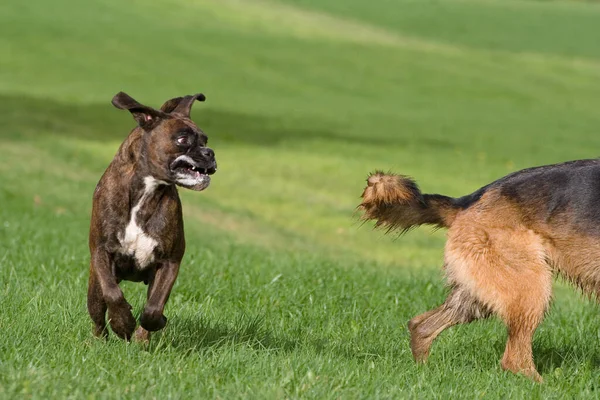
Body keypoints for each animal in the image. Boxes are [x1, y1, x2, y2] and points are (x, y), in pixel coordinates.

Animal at [85, 92, 214, 342]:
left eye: (204, 140)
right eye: (182, 139)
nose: (210, 153)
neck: (147, 189)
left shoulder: (169, 262)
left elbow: (153, 309)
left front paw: (152, 324)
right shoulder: (101, 251)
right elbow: (113, 294)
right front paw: (122, 323)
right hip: (94, 287)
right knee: (98, 316)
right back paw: (99, 340)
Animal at [358, 160, 600, 382]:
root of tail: (467, 201)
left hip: (479, 296)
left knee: (420, 326)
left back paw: (422, 372)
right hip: (530, 288)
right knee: (513, 359)